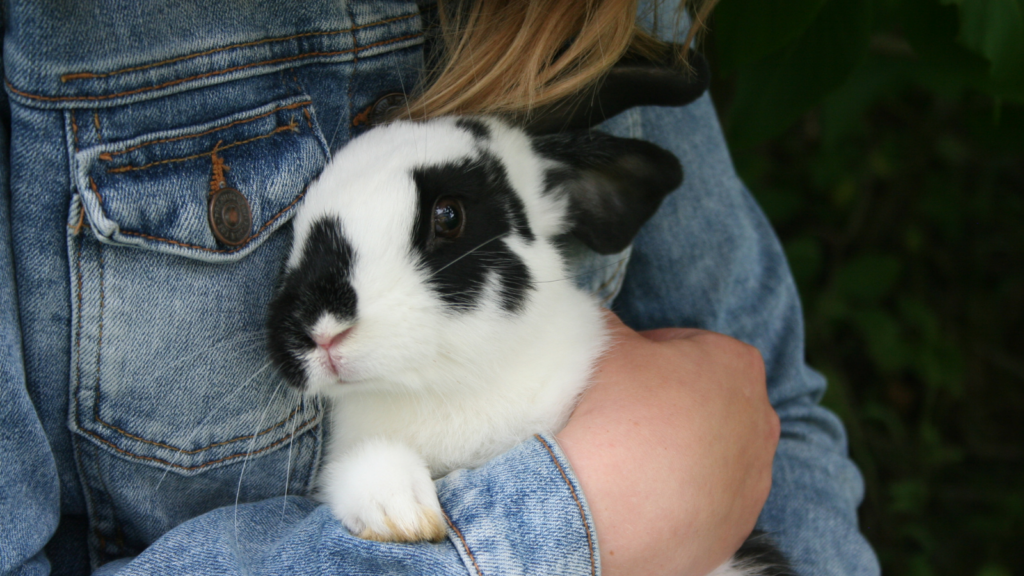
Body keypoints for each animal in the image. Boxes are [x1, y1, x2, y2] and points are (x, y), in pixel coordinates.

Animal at [266, 115, 792, 575]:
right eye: (297, 231)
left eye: (448, 216)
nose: (320, 329)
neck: (446, 387)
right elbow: (364, 467)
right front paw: (403, 515)